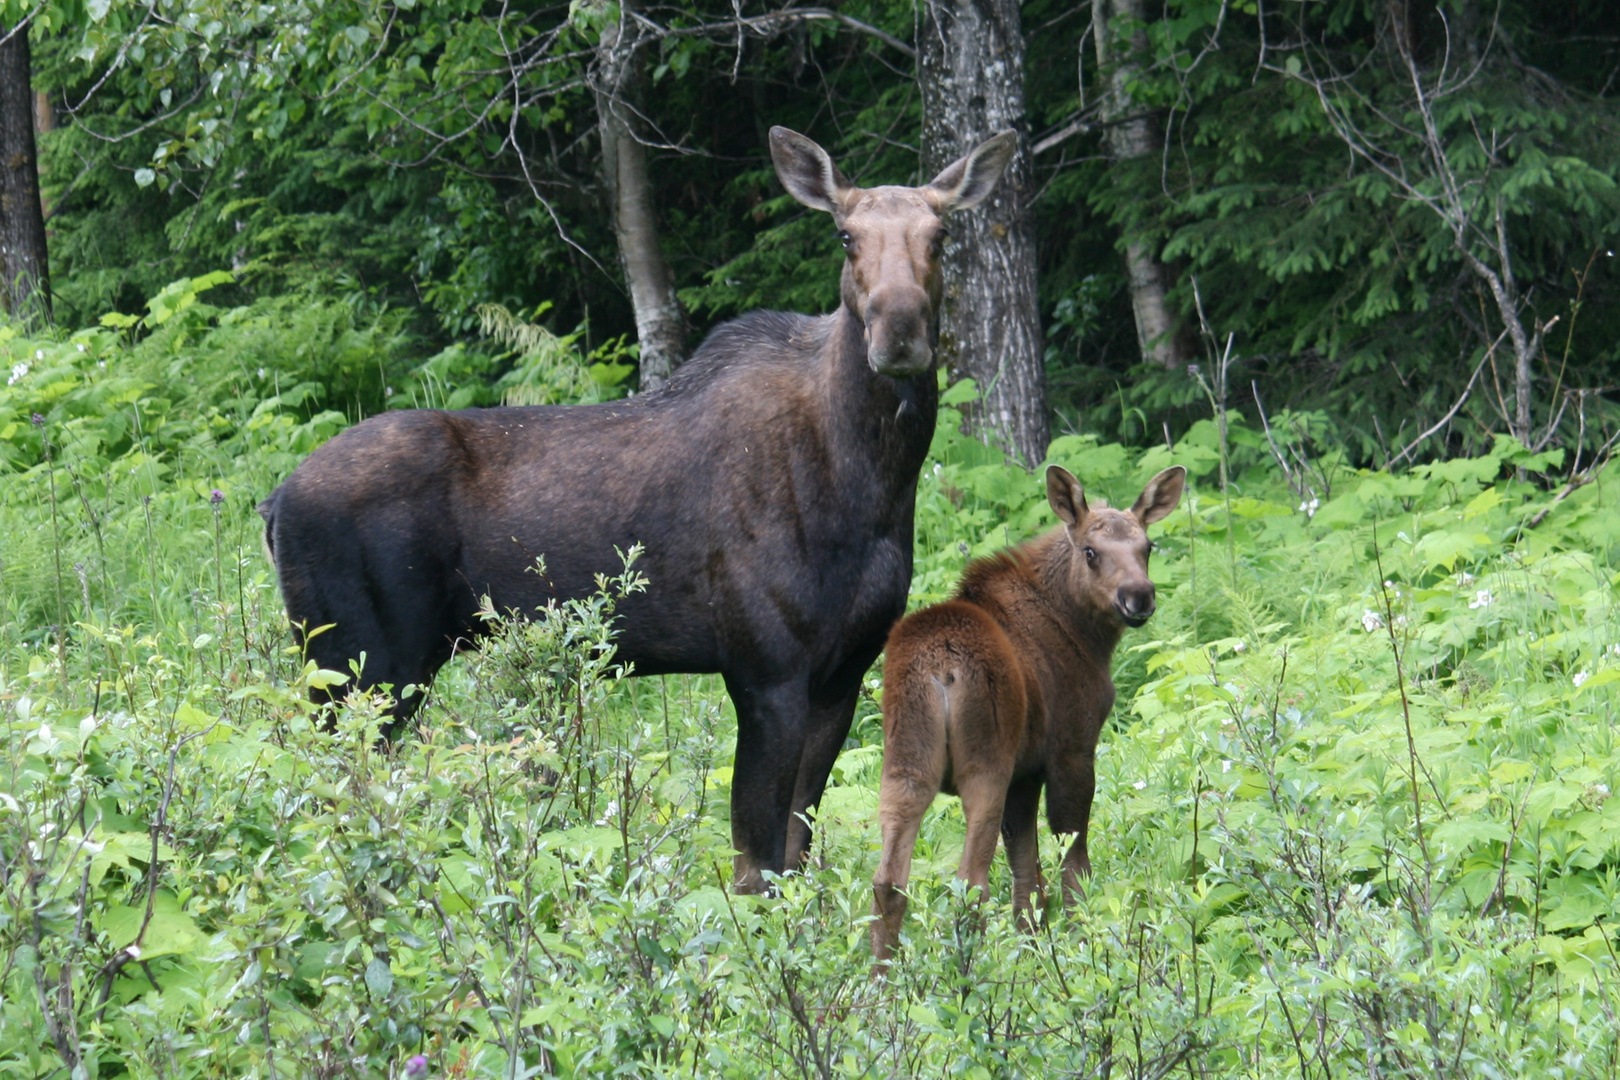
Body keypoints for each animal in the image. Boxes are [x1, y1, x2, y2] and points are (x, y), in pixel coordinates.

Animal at [259, 124, 1017, 887]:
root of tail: (273, 504)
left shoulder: (845, 669)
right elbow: (754, 861)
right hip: (361, 662)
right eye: (844, 235)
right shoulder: (763, 667)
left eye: (941, 234)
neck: (874, 488)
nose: (899, 330)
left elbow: (796, 853)